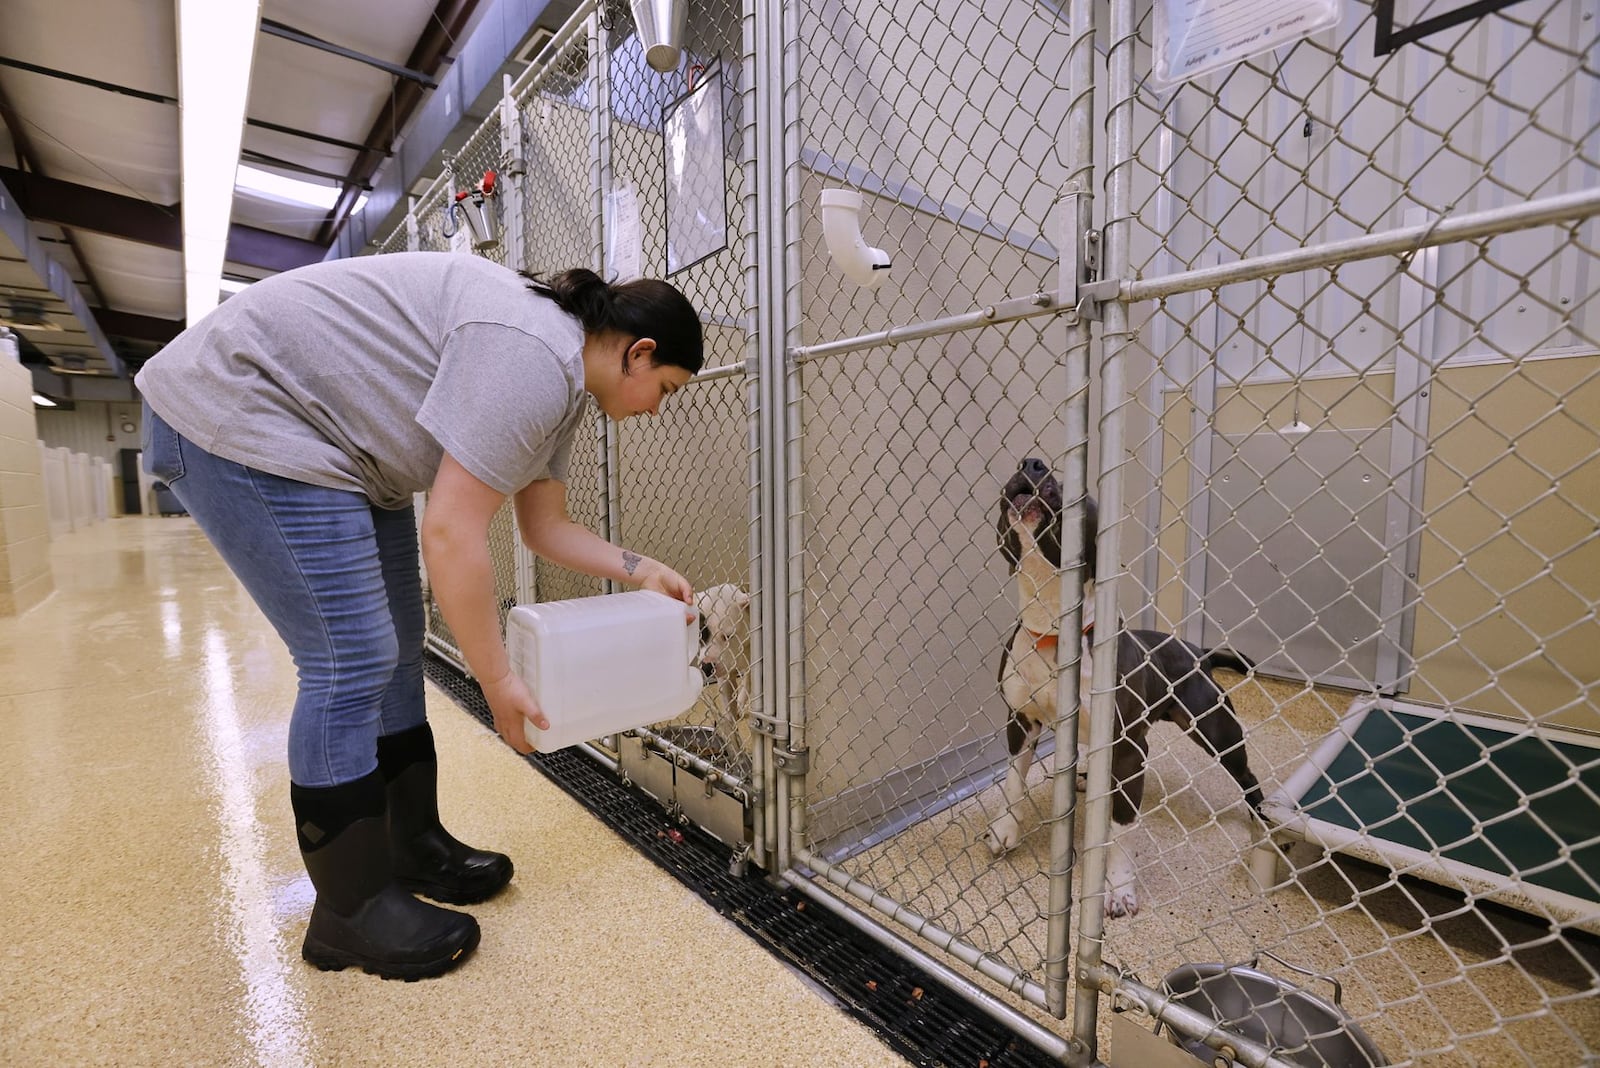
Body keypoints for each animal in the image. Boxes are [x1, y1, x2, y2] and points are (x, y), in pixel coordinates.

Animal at [979, 460, 1267, 920]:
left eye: (1076, 487)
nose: (1031, 463)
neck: (1054, 629)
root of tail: (1197, 651)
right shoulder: (1020, 721)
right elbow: (1012, 780)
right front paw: (1005, 829)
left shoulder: (1129, 750)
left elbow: (1120, 827)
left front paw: (1117, 889)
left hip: (1217, 731)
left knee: (1247, 774)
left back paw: (1261, 816)